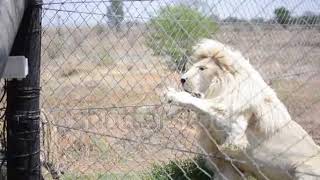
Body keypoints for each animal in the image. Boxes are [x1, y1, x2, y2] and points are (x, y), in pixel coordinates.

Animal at [166, 39, 320, 180]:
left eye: (202, 68)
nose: (182, 79)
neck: (221, 88)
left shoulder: (235, 131)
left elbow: (206, 105)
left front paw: (174, 95)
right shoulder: (227, 164)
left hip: (304, 170)